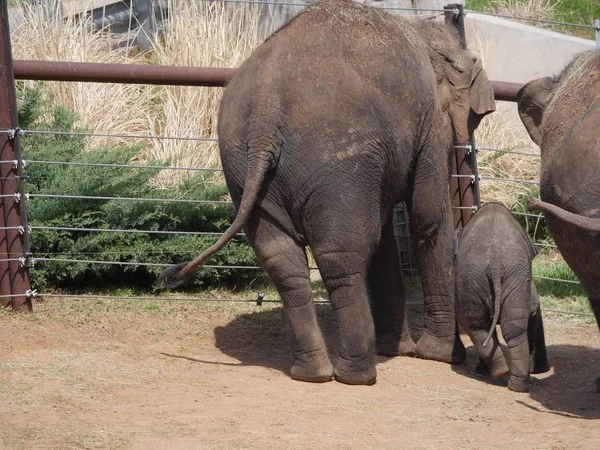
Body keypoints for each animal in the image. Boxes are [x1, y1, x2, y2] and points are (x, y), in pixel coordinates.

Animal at [162, 0, 494, 386]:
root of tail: (265, 112)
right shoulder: (429, 119)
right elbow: (429, 218)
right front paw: (442, 356)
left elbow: (385, 237)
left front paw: (399, 351)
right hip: (336, 161)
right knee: (341, 257)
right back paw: (357, 376)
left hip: (243, 166)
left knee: (282, 260)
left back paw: (312, 373)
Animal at [454, 202, 548, 392]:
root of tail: (495, 265)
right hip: (509, 278)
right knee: (509, 329)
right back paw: (512, 380)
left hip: (472, 280)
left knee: (480, 327)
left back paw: (503, 375)